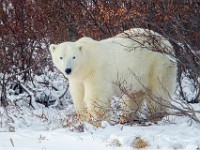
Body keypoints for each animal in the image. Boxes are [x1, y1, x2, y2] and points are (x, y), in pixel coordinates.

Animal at [49, 28, 177, 124]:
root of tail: (166, 42)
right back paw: (126, 117)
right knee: (134, 95)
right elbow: (79, 96)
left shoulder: (97, 72)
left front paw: (101, 120)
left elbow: (97, 97)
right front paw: (84, 119)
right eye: (61, 57)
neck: (88, 63)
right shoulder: (78, 80)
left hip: (157, 65)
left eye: (74, 57)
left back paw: (157, 115)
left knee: (159, 92)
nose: (68, 70)